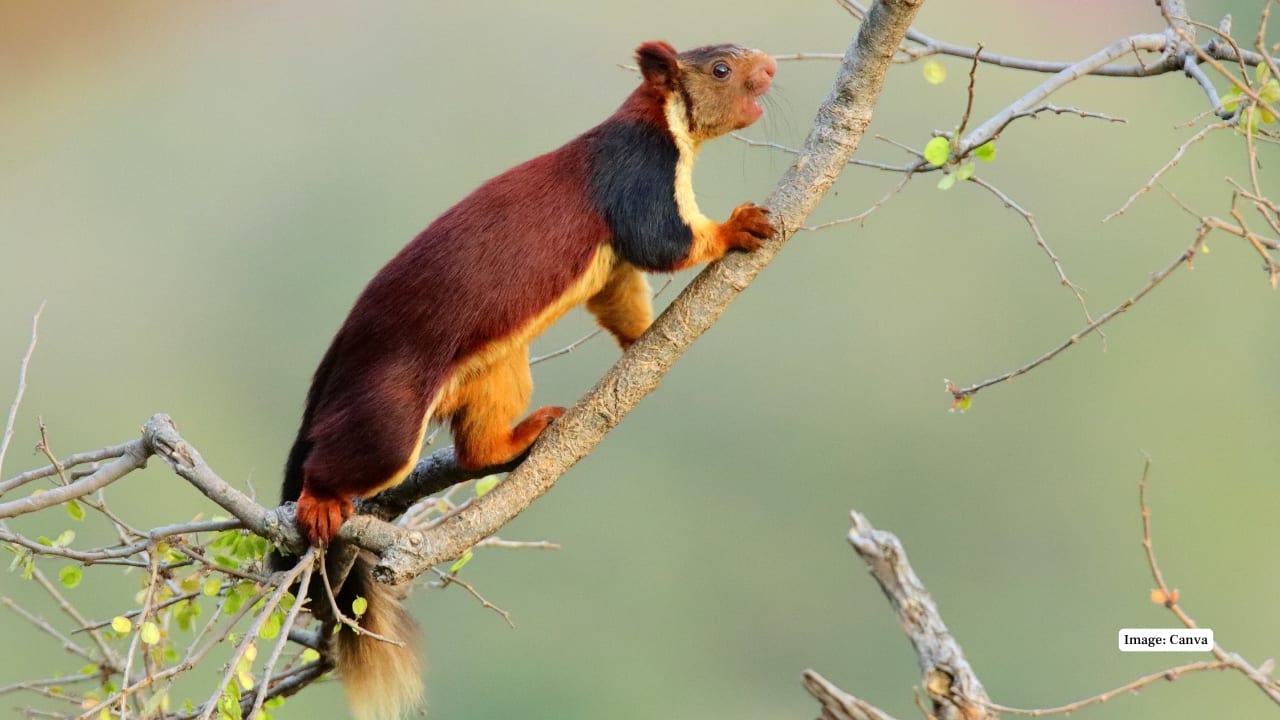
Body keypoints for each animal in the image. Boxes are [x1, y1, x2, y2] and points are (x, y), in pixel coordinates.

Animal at [270, 41, 776, 720]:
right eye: (721, 68)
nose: (771, 67)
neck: (660, 124)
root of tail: (333, 365)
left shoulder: (612, 264)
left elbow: (622, 298)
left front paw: (646, 344)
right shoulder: (639, 177)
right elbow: (664, 244)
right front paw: (739, 226)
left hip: (497, 371)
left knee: (476, 448)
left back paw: (525, 435)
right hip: (390, 411)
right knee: (342, 456)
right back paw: (321, 501)